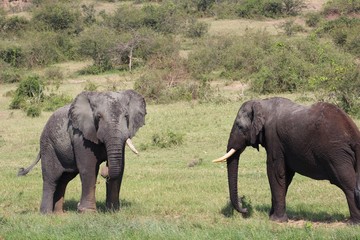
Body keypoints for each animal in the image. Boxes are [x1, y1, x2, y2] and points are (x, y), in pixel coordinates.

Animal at [17, 90, 147, 214]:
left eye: (126, 116)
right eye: (98, 117)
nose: (105, 170)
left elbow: (121, 168)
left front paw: (113, 211)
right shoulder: (81, 136)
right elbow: (88, 168)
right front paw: (87, 212)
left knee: (64, 179)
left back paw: (59, 214)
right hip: (48, 145)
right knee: (51, 179)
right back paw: (47, 214)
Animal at [212, 97, 360, 223]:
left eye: (240, 127)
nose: (245, 209)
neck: (262, 103)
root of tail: (353, 134)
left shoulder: (274, 138)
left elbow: (275, 172)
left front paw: (276, 220)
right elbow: (286, 177)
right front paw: (271, 215)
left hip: (336, 154)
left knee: (347, 183)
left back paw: (353, 223)